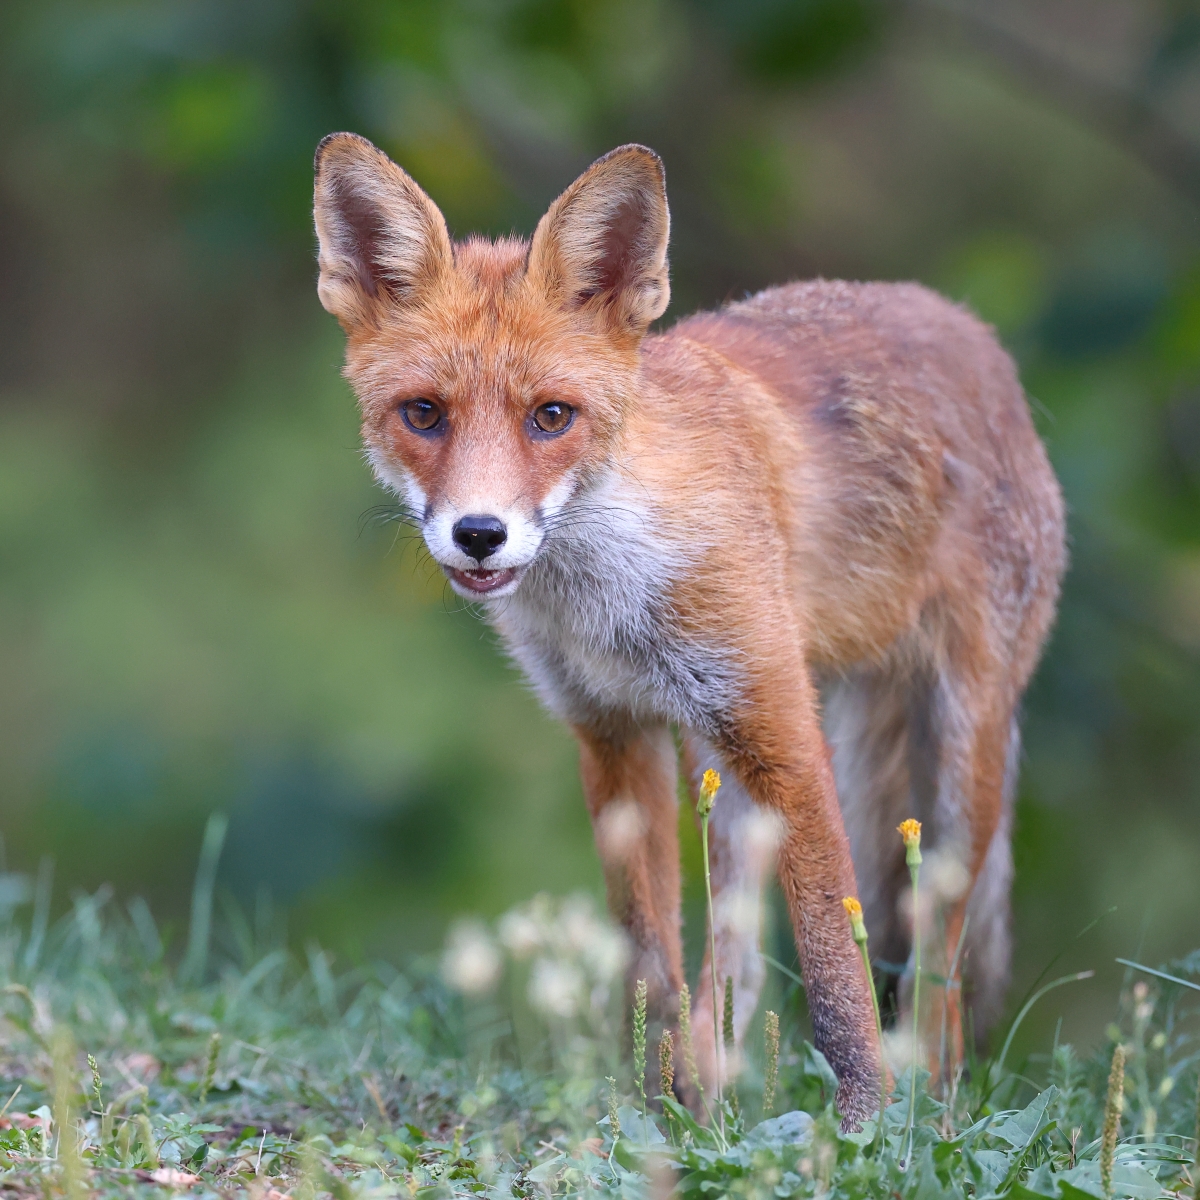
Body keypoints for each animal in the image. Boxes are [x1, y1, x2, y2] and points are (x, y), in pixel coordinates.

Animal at [312, 135, 1065, 1124]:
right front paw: (652, 1116)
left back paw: (929, 1104)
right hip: (729, 768)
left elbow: (836, 972)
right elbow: (648, 963)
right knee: (733, 965)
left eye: (551, 417)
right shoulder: (612, 734)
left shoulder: (786, 733)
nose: (479, 533)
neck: (610, 598)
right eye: (423, 414)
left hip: (948, 752)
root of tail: (975, 333)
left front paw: (863, 1126)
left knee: (936, 958)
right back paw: (716, 1101)